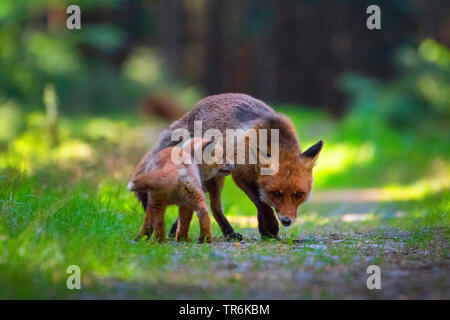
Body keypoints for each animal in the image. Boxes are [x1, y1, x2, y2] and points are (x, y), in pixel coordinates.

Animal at [132, 92, 322, 240]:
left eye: (299, 194)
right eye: (276, 193)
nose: (286, 221)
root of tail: (194, 108)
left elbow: (260, 202)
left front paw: (265, 230)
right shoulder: (240, 175)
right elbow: (261, 202)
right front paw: (270, 226)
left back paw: (176, 229)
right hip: (214, 176)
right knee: (215, 207)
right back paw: (229, 233)